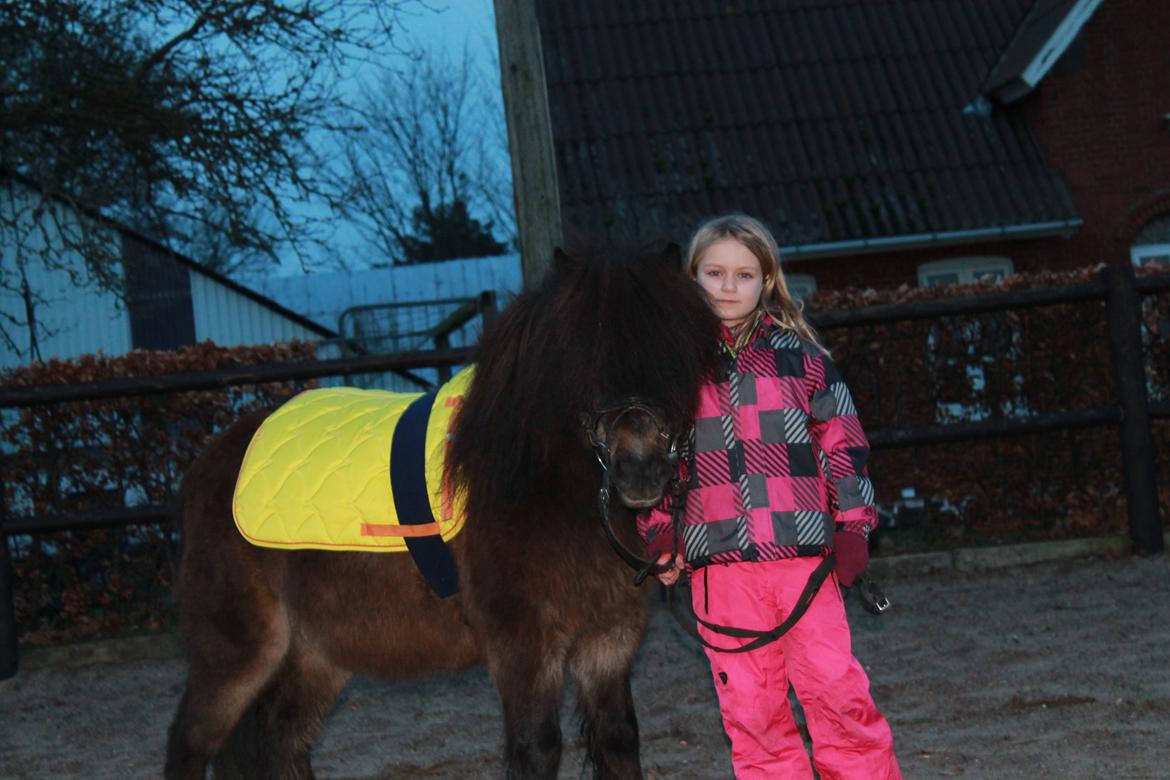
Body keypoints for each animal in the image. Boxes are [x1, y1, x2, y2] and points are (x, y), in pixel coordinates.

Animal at [164, 244, 720, 780]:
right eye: (581, 360)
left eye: (676, 356)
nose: (640, 473)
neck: (542, 491)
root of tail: (207, 465)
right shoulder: (520, 643)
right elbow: (537, 746)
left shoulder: (608, 637)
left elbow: (618, 739)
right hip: (239, 651)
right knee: (191, 741)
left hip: (316, 653)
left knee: (280, 742)